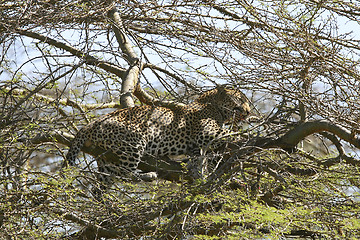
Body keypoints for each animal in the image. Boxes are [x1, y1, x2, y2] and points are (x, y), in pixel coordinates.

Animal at [64, 86, 250, 184]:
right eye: (241, 100)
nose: (248, 112)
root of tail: (90, 124)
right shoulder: (206, 132)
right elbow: (227, 132)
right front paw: (245, 136)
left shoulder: (196, 147)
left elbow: (200, 156)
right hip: (135, 139)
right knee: (126, 173)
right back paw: (148, 175)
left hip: (106, 162)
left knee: (103, 182)